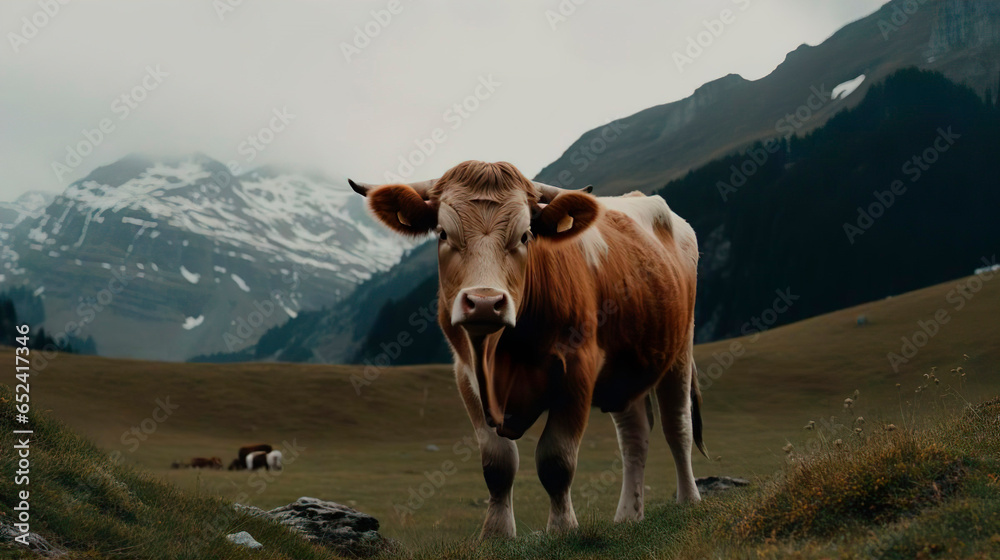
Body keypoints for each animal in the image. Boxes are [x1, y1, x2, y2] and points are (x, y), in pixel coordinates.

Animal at [352, 161, 704, 540]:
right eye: (443, 234)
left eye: (525, 236)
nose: (485, 303)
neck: (503, 353)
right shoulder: (467, 375)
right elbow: (498, 462)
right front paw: (496, 533)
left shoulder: (577, 370)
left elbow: (556, 458)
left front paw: (563, 529)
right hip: (625, 368)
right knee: (634, 436)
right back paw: (627, 516)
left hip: (680, 348)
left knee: (677, 426)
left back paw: (688, 501)